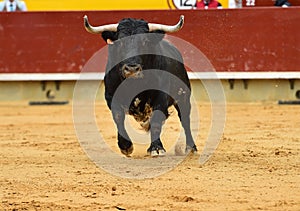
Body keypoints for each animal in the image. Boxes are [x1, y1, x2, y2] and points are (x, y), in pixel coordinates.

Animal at [84, 15, 197, 157]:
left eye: (145, 41)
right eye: (120, 42)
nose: (132, 69)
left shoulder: (161, 97)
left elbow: (156, 120)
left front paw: (156, 148)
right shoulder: (111, 97)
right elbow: (118, 117)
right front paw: (125, 146)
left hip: (183, 97)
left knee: (185, 120)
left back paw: (190, 147)